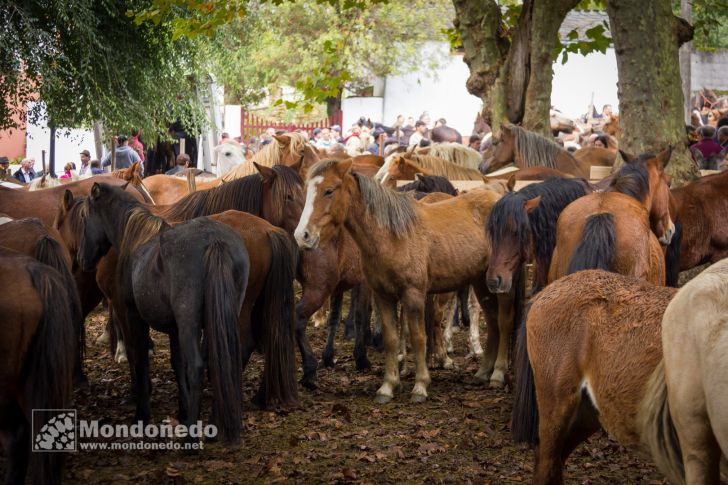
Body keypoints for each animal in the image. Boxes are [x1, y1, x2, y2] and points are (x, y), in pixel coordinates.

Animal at [78, 182, 250, 442]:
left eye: (85, 217)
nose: (82, 259)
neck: (135, 239)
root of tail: (214, 241)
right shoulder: (173, 329)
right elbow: (177, 363)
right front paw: (183, 409)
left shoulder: (133, 317)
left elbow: (139, 358)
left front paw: (142, 414)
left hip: (189, 323)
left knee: (197, 366)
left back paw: (191, 437)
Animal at [292, 161, 516, 402]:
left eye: (329, 190)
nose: (302, 236)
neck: (392, 236)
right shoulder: (383, 295)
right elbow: (391, 338)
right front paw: (388, 386)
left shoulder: (413, 295)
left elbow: (418, 338)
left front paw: (420, 386)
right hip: (481, 282)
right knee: (492, 321)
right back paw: (483, 372)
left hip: (501, 283)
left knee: (504, 322)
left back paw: (497, 374)